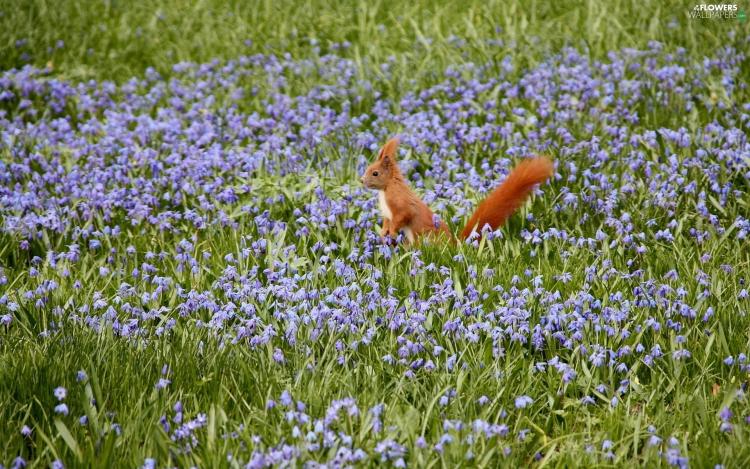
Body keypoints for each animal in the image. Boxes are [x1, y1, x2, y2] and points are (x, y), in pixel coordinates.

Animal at [362, 135, 556, 243]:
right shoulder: (388, 213)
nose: (362, 180)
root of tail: (454, 246)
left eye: (375, 173)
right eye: (368, 169)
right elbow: (387, 222)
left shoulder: (399, 203)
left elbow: (402, 217)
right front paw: (384, 233)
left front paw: (393, 233)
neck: (386, 189)